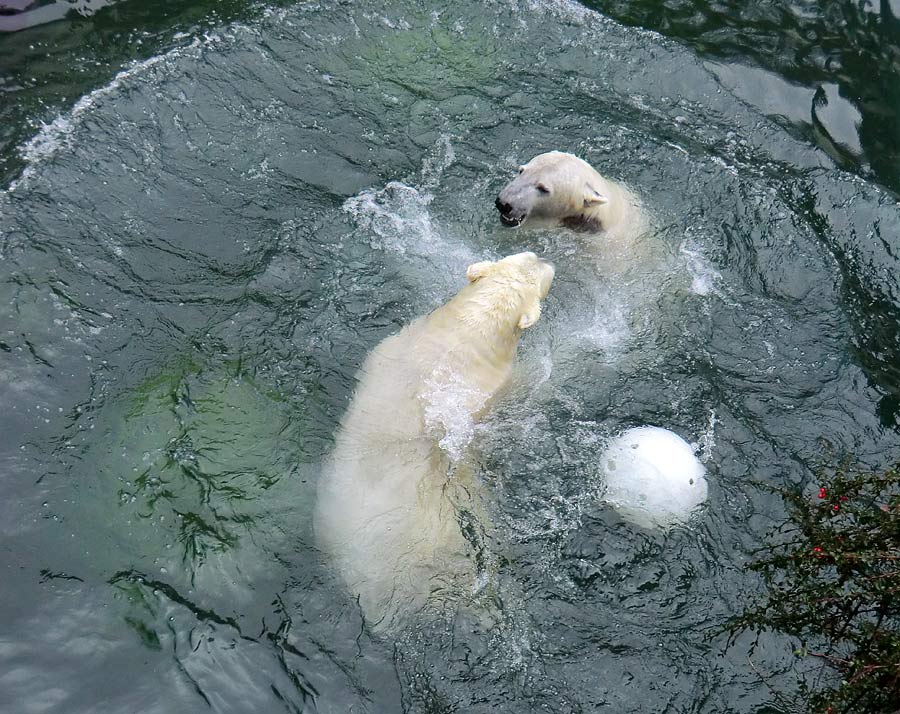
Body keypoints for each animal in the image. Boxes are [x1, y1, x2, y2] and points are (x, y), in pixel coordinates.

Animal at [314, 253, 556, 632]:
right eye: (540, 273)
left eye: (529, 259)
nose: (546, 258)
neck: (466, 332)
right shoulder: (492, 388)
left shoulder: (393, 343)